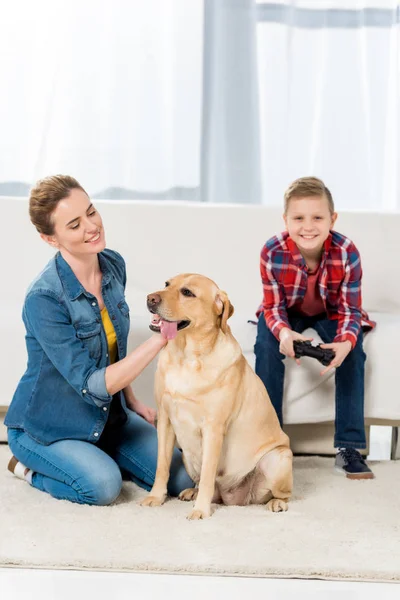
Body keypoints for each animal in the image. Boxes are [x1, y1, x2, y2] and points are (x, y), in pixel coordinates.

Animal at [141, 274, 294, 516]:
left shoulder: (213, 429)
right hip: (186, 455)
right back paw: (192, 492)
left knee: (282, 493)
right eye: (167, 284)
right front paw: (156, 497)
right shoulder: (164, 420)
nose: (150, 298)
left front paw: (201, 511)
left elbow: (207, 475)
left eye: (187, 292)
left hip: (278, 459)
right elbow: (161, 466)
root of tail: (233, 499)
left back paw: (277, 503)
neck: (187, 356)